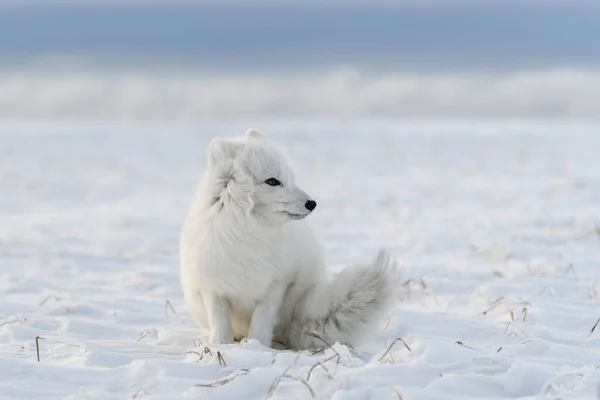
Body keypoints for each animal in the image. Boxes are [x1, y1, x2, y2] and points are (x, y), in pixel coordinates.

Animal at [178, 130, 396, 348]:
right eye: (272, 181)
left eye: (291, 178)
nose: (312, 203)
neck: (248, 231)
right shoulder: (212, 287)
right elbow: (220, 324)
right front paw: (221, 346)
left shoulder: (277, 284)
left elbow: (262, 321)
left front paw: (257, 345)